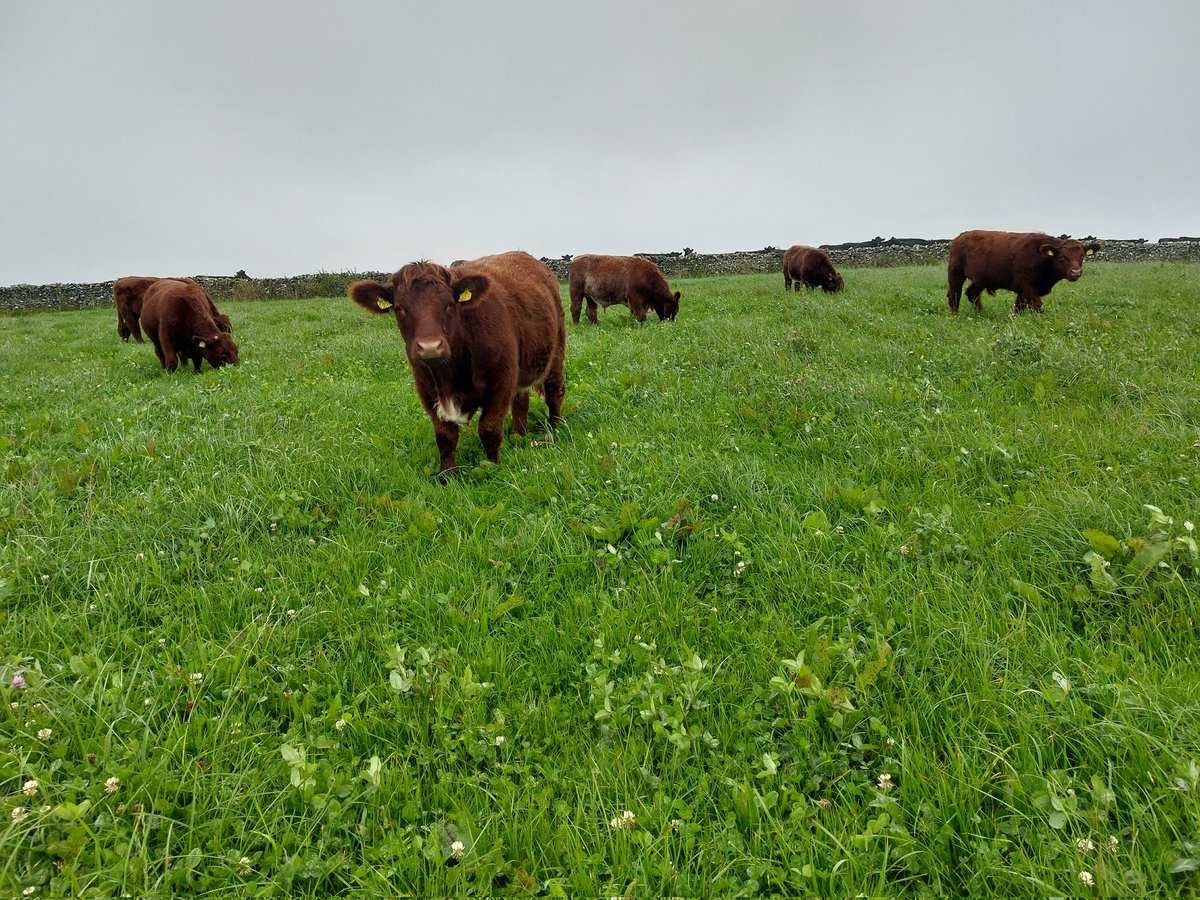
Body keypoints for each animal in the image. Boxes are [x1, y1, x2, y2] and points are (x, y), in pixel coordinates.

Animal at [349, 251, 566, 478]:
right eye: (399, 308)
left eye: (450, 304)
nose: (430, 347)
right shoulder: (426, 389)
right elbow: (445, 436)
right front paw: (447, 475)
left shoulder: (501, 382)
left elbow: (489, 429)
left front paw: (493, 467)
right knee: (521, 401)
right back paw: (518, 435)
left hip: (557, 350)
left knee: (554, 391)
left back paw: (555, 429)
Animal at [946, 230, 1101, 314]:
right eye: (1062, 257)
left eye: (1082, 256)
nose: (1076, 272)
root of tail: (961, 236)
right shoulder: (1026, 285)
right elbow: (1036, 305)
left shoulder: (1023, 290)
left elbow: (1019, 307)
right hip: (956, 274)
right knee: (954, 295)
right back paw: (956, 316)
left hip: (980, 279)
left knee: (972, 293)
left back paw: (981, 313)